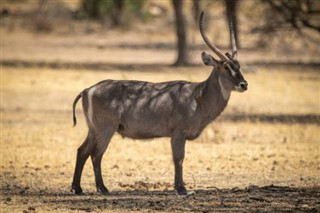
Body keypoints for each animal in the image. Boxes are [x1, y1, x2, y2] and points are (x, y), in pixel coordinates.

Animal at [72, 11, 248, 195]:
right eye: (226, 67)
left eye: (238, 66)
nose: (244, 84)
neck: (198, 97)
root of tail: (87, 90)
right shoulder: (178, 133)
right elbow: (179, 158)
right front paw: (182, 189)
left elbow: (178, 158)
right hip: (106, 129)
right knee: (96, 154)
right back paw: (103, 188)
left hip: (94, 130)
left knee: (82, 151)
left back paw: (78, 188)